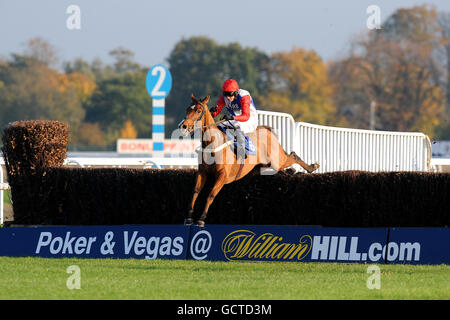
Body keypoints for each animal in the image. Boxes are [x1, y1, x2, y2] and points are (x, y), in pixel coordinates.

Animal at [178, 94, 318, 226]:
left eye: (198, 110)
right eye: (187, 109)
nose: (183, 126)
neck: (212, 143)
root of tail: (265, 130)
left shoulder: (223, 175)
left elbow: (210, 195)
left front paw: (201, 219)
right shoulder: (203, 172)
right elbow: (195, 192)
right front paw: (189, 217)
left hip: (277, 161)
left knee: (293, 156)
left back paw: (311, 167)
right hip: (260, 167)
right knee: (280, 169)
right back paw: (292, 171)